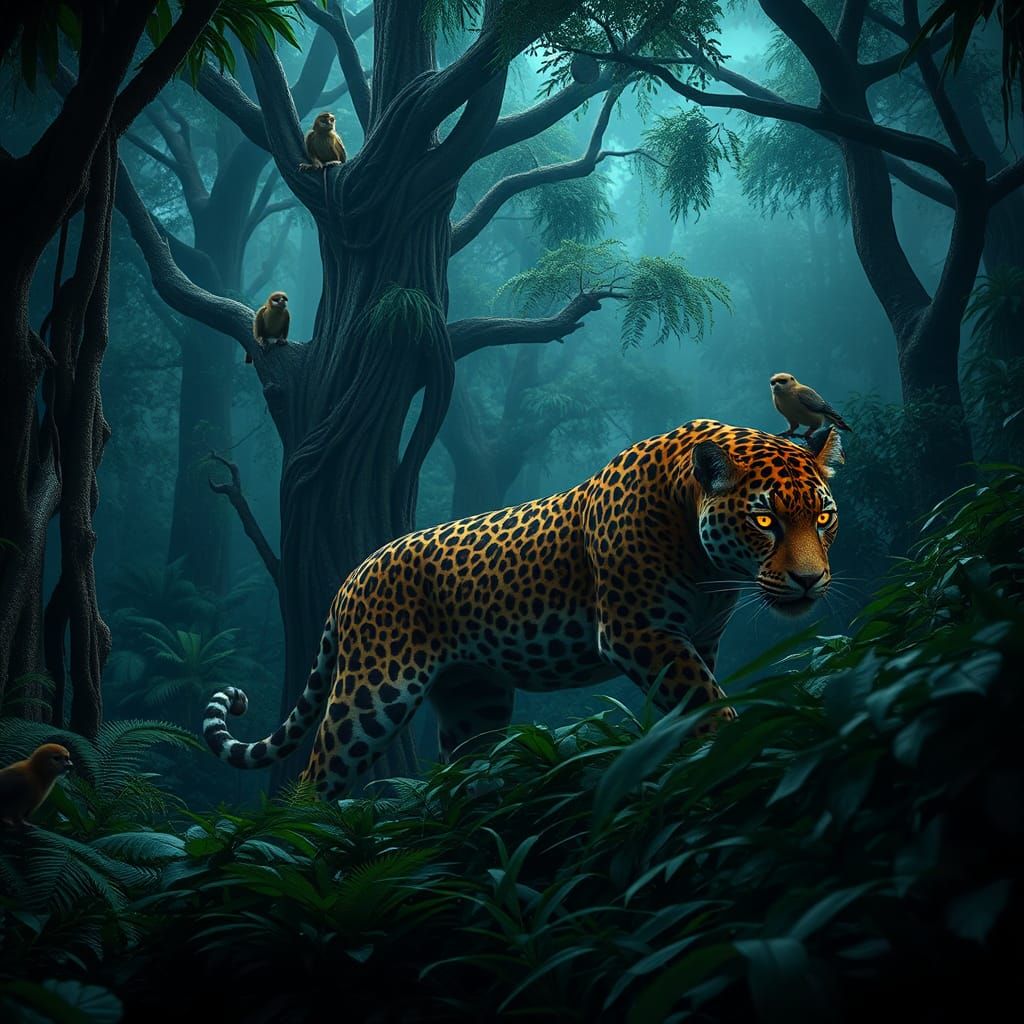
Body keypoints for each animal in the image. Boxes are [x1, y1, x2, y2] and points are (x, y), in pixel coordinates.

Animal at [203, 419, 844, 799]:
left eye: (823, 517)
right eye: (765, 519)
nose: (810, 581)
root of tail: (351, 576)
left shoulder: (698, 640)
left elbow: (696, 699)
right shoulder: (638, 630)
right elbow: (708, 700)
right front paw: (737, 751)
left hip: (474, 700)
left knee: (456, 769)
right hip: (373, 693)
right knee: (311, 779)